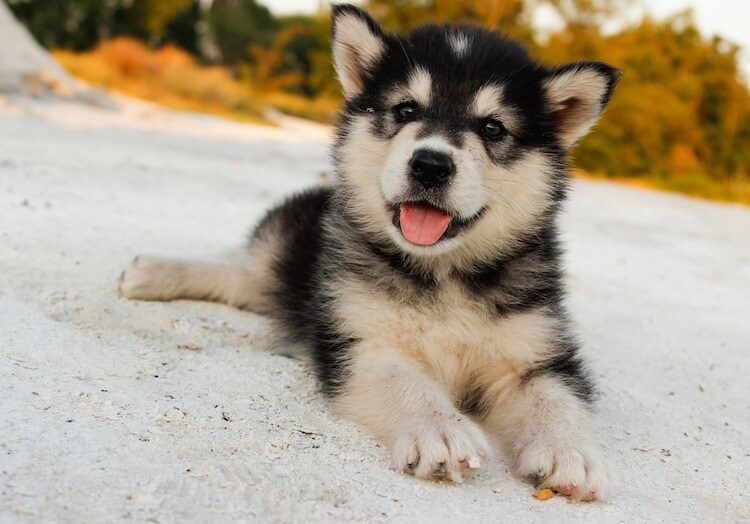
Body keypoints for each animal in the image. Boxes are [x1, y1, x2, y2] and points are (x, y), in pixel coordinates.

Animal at [119, 4, 624, 502]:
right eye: (405, 109)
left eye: (492, 127)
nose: (431, 164)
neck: (443, 272)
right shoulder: (355, 337)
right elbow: (405, 381)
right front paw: (440, 430)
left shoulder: (537, 350)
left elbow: (555, 397)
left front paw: (570, 453)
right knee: (242, 275)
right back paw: (152, 272)